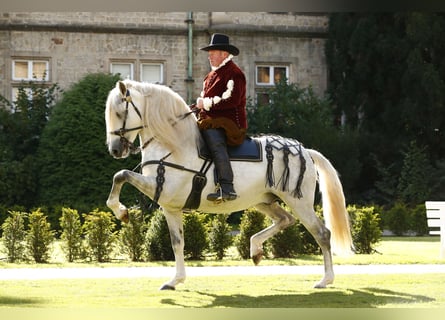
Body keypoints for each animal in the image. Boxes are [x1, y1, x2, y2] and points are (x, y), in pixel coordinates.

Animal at [106, 79, 352, 290]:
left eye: (119, 113)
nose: (115, 150)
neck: (173, 145)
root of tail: (306, 151)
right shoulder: (170, 207)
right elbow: (177, 243)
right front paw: (175, 280)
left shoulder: (160, 189)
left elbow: (121, 175)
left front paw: (122, 212)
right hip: (263, 201)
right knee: (285, 220)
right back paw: (255, 250)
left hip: (298, 201)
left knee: (322, 233)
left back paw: (326, 280)